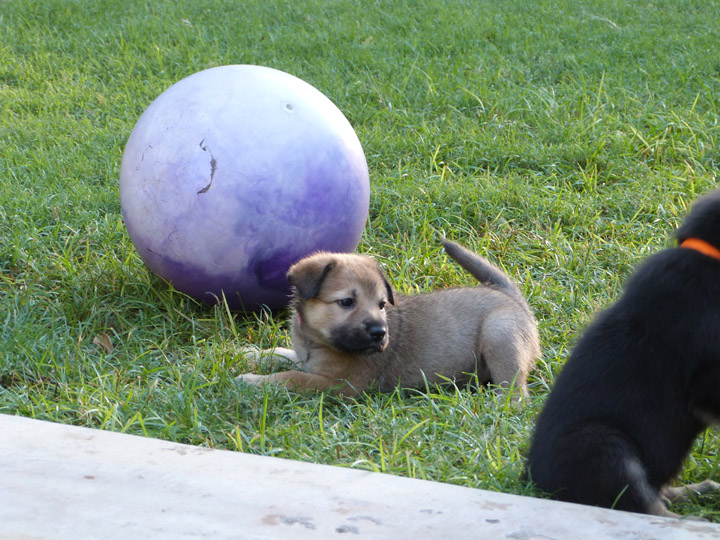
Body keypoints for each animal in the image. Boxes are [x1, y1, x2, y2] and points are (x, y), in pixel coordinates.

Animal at [238, 240, 540, 400]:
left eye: (382, 304)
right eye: (347, 302)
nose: (380, 333)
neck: (316, 342)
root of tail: (511, 297)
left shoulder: (340, 384)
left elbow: (292, 377)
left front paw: (253, 381)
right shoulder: (306, 360)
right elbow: (284, 355)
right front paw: (251, 354)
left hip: (499, 332)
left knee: (516, 392)